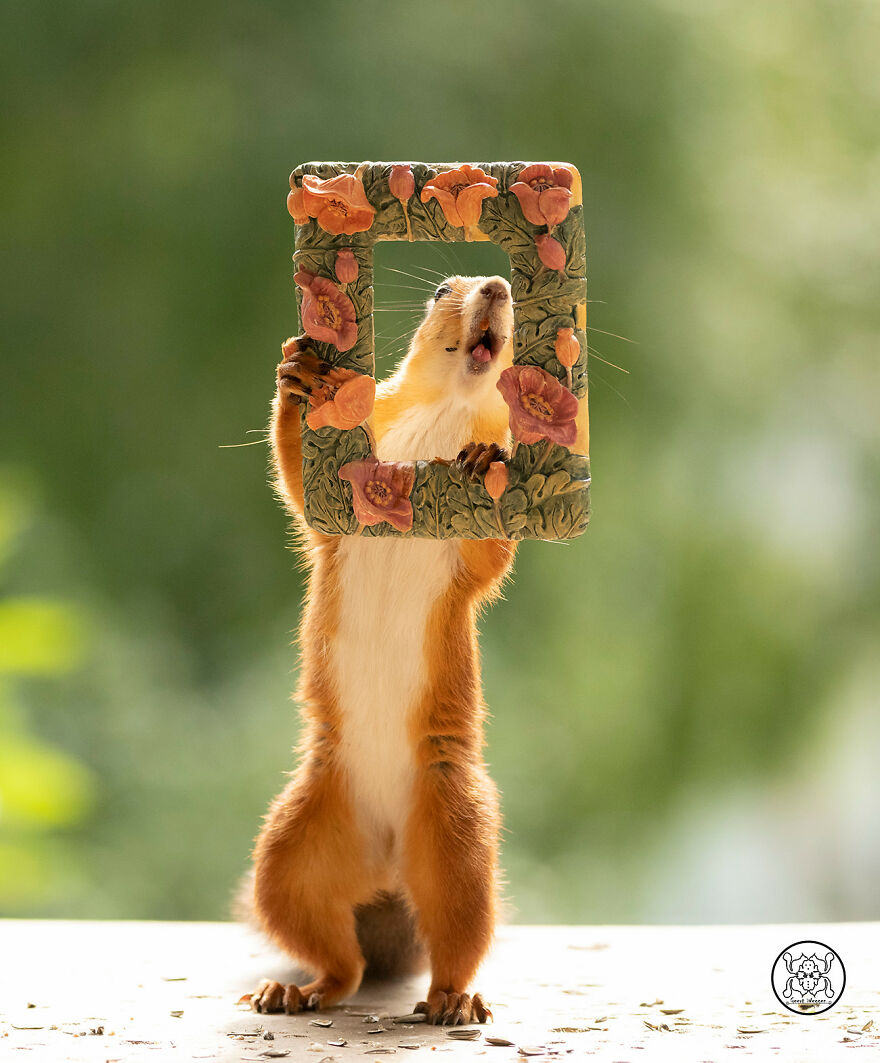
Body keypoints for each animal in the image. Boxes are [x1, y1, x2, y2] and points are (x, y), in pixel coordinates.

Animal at [247, 275, 517, 1026]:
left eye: (508, 291)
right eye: (442, 290)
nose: (498, 284)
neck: (450, 407)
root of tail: (390, 864)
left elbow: (490, 555)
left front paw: (485, 462)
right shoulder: (341, 497)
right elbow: (302, 488)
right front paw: (297, 375)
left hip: (455, 832)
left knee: (457, 929)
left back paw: (454, 998)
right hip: (295, 851)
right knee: (339, 957)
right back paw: (298, 989)